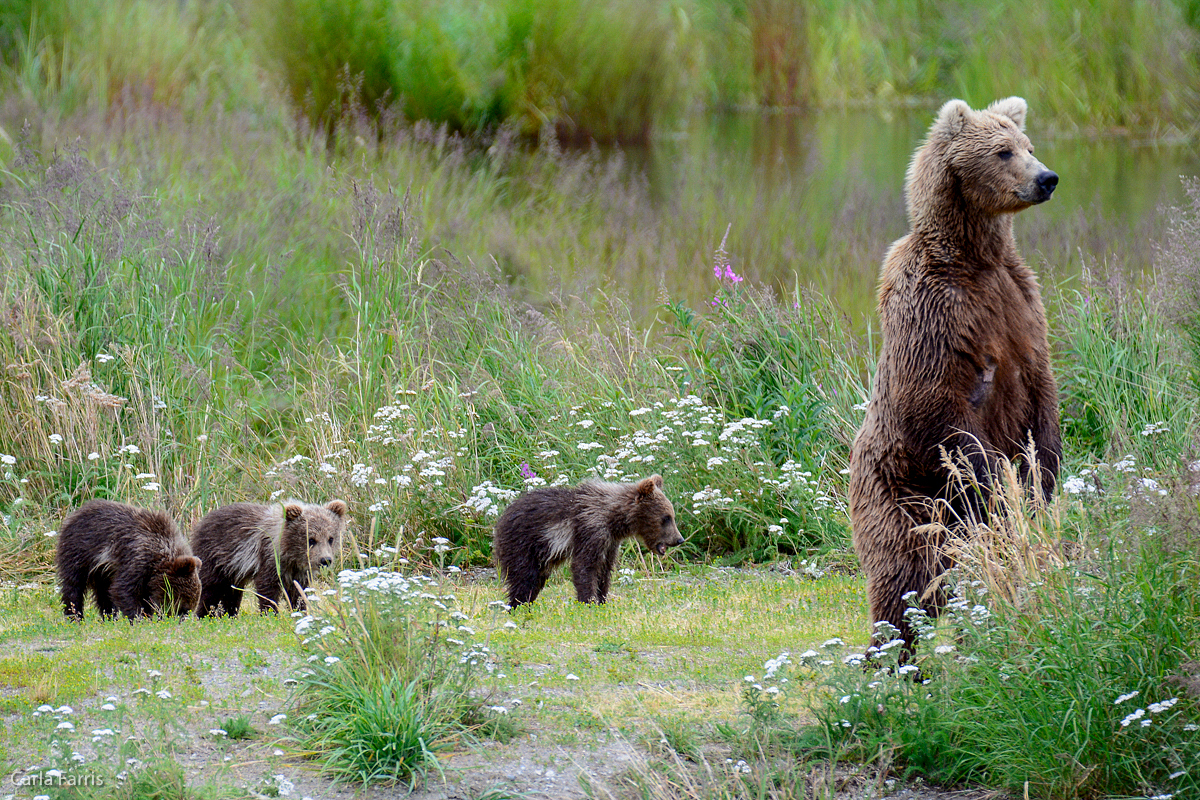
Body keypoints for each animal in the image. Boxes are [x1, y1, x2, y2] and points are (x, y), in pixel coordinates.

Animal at [57, 501, 202, 623]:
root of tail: (74, 514)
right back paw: (75, 617)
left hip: (101, 571)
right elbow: (123, 589)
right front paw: (139, 619)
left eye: (188, 610)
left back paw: (110, 618)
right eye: (183, 607)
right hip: (79, 551)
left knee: (103, 593)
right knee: (74, 585)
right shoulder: (136, 558)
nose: (179, 620)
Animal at [188, 501, 348, 618]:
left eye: (331, 538)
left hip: (233, 571)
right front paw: (270, 613)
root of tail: (202, 521)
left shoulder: (300, 571)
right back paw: (205, 615)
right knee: (211, 590)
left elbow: (299, 591)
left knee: (231, 593)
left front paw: (301, 611)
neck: (290, 555)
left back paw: (229, 614)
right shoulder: (268, 559)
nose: (325, 560)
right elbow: (267, 588)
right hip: (215, 557)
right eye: (311, 539)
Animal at [494, 474, 686, 606]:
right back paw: (517, 605)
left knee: (536, 580)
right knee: (524, 576)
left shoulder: (610, 542)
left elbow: (604, 570)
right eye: (666, 518)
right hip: (524, 544)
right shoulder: (591, 529)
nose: (679, 539)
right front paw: (588, 601)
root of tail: (501, 518)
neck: (614, 519)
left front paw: (602, 600)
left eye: (671, 516)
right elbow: (585, 567)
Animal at [849, 98, 1065, 652]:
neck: (974, 256)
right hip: (905, 494)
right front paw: (993, 479)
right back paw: (890, 655)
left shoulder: (1020, 307)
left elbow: (1042, 393)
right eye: (1003, 151)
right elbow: (941, 406)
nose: (1047, 178)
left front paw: (1040, 477)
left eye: (1029, 145)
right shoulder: (934, 312)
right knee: (904, 577)